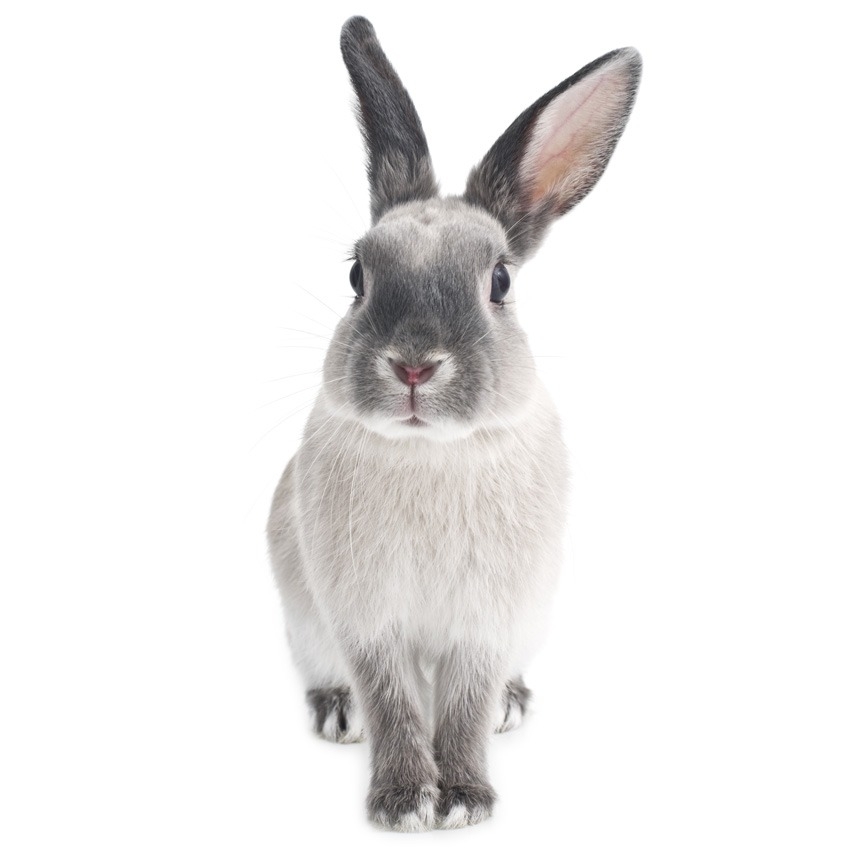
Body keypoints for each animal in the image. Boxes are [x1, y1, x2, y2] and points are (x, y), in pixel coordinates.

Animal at [267, 16, 641, 832]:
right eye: (358, 274)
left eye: (498, 281)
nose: (413, 366)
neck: (429, 453)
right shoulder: (366, 617)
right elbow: (394, 704)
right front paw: (406, 802)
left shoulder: (486, 620)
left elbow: (463, 707)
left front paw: (465, 798)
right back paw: (338, 713)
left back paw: (511, 705)